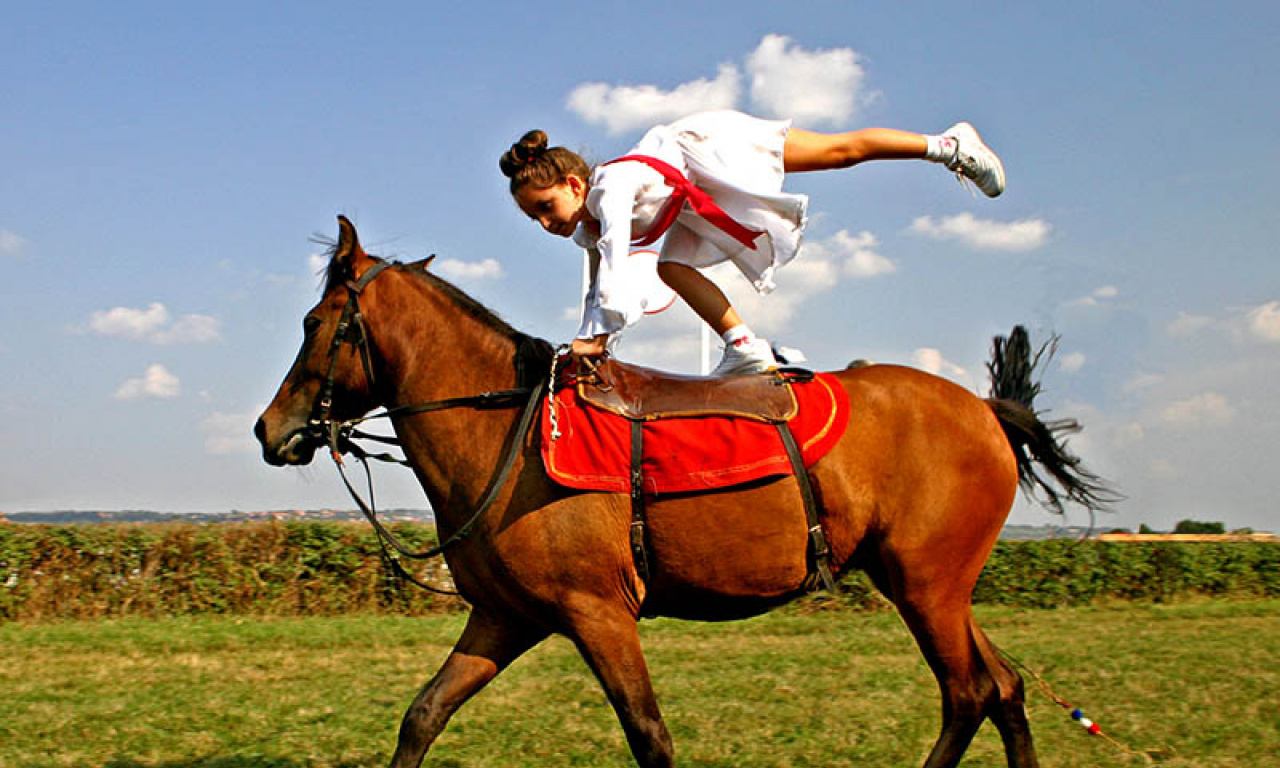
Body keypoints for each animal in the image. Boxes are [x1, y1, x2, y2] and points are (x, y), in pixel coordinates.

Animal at [252, 216, 1111, 768]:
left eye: (315, 323)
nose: (270, 429)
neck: (511, 431)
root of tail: (985, 410)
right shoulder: (504, 618)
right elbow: (422, 716)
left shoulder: (597, 615)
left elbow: (650, 737)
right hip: (932, 587)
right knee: (1005, 688)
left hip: (929, 587)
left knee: (969, 693)